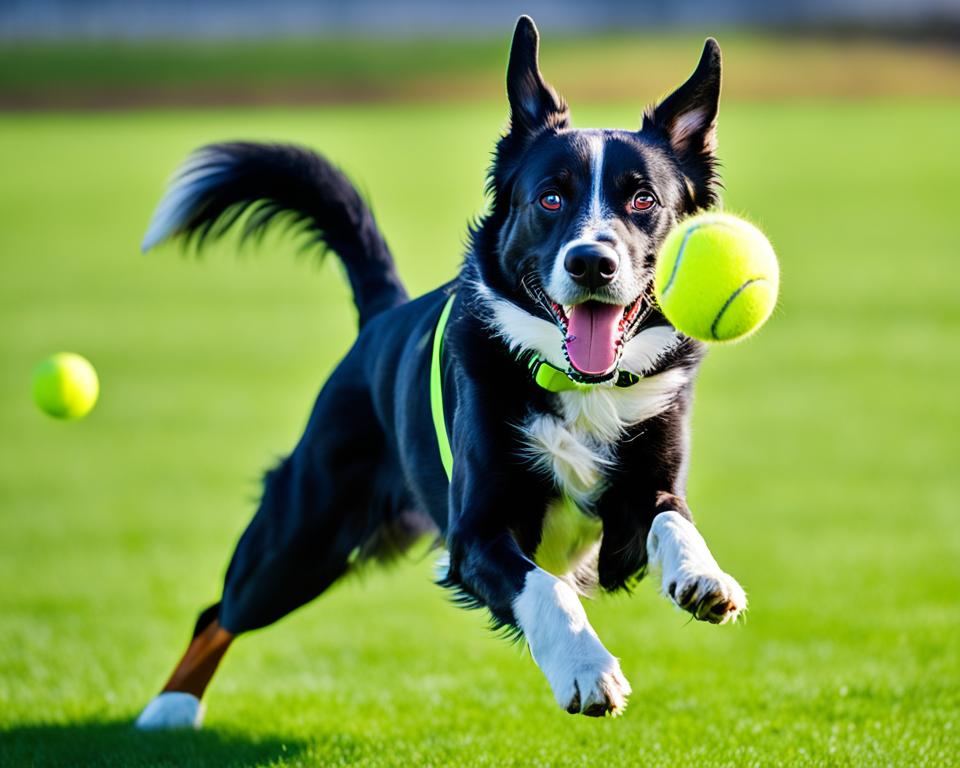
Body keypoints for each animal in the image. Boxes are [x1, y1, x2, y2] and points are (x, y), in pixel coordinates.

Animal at [135, 15, 748, 728]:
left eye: (644, 199)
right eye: (550, 198)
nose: (591, 262)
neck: (574, 385)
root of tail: (381, 317)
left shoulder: (643, 491)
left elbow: (674, 520)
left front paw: (704, 577)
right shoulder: (475, 532)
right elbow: (545, 589)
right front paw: (584, 667)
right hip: (303, 537)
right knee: (221, 610)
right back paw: (170, 707)